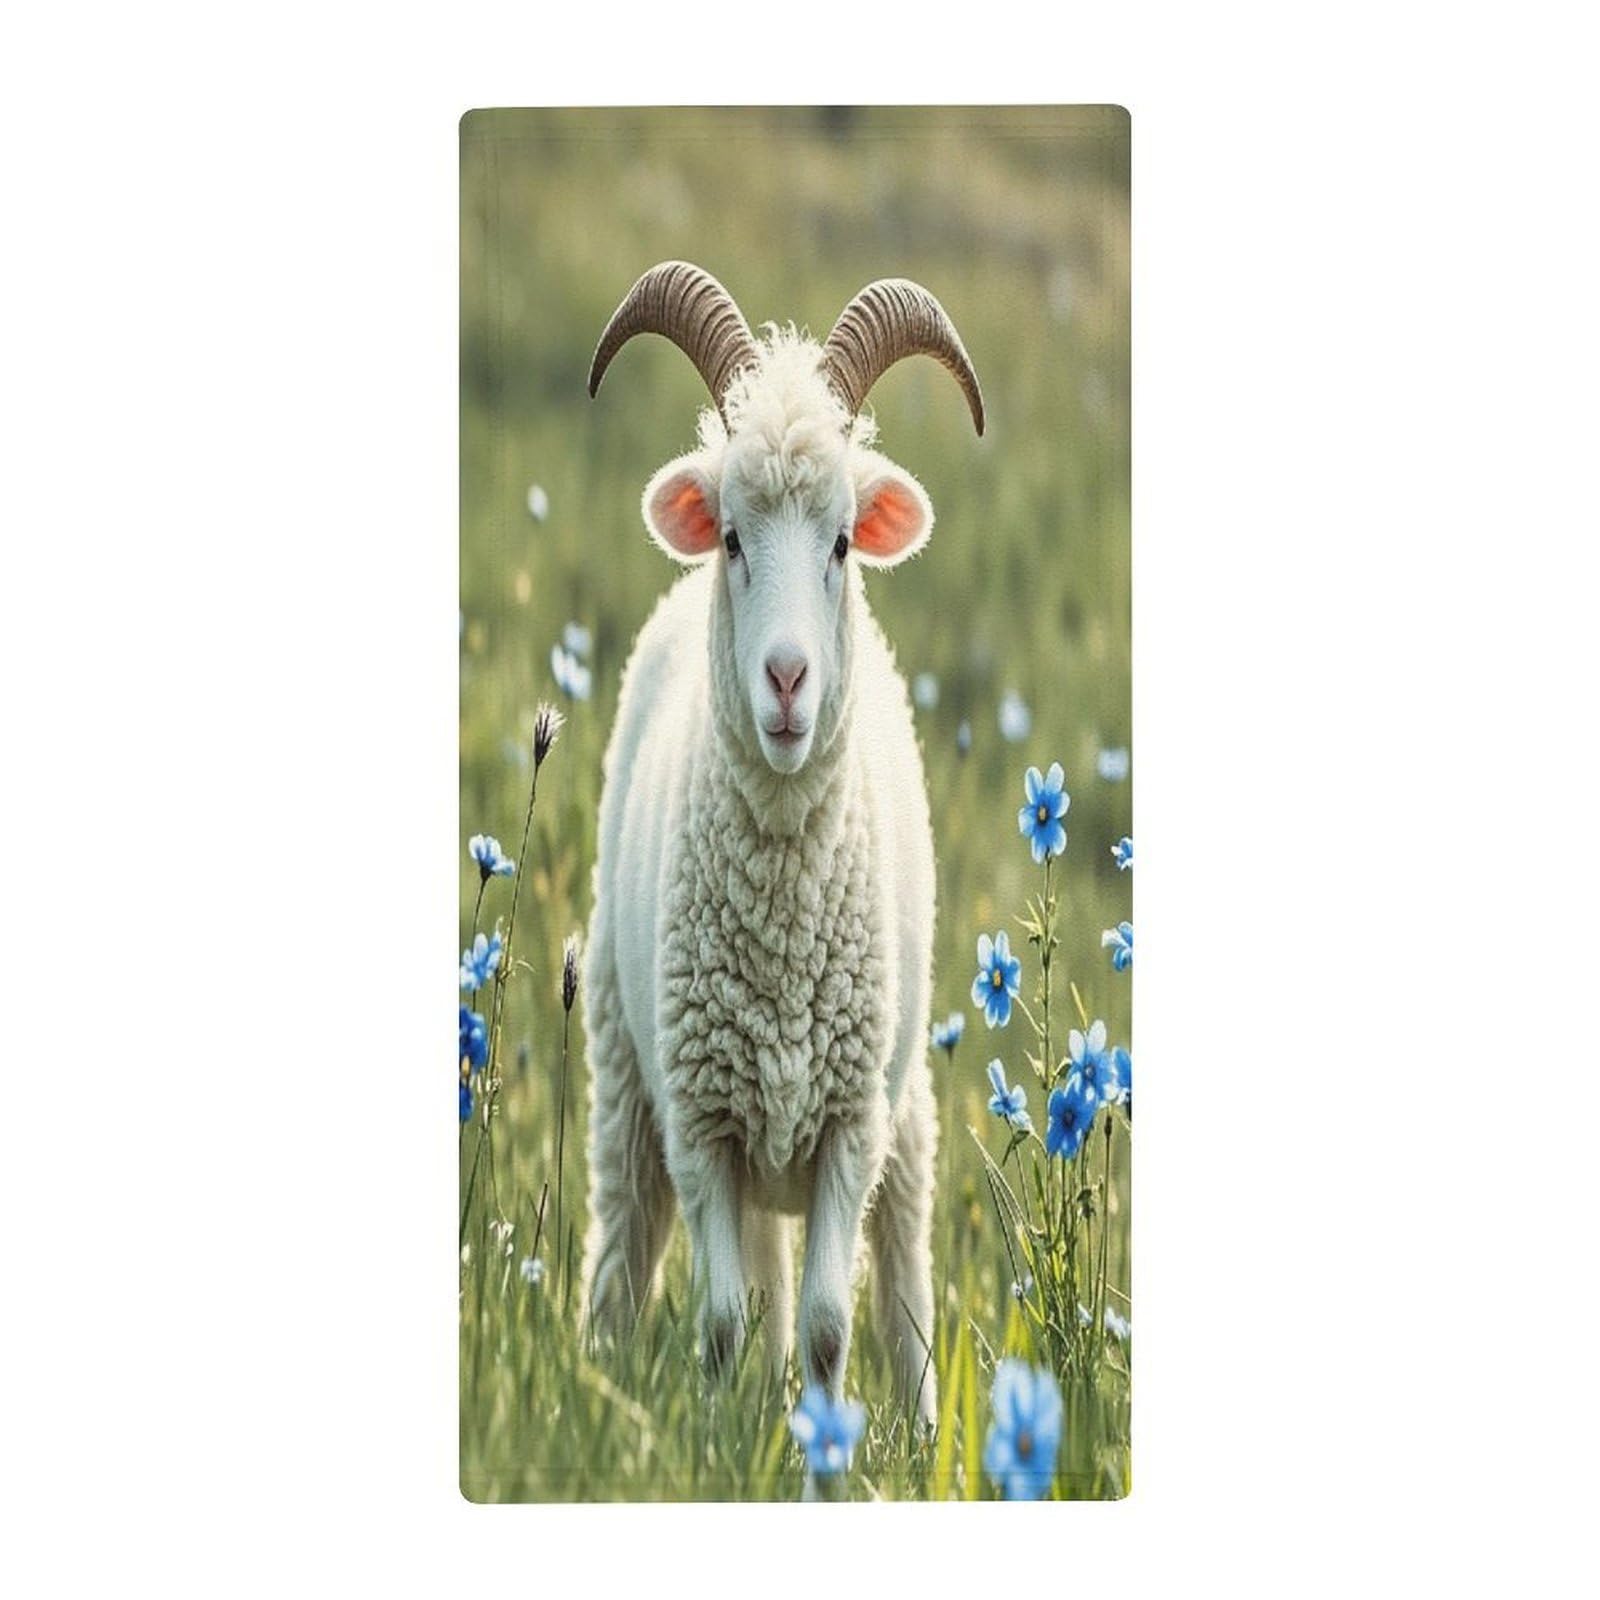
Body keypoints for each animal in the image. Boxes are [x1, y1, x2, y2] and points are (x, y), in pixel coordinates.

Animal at [579, 261, 983, 1428]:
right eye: (731, 537)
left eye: (843, 541)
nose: (789, 679)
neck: (784, 919)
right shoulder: (705, 1120)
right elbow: (720, 1326)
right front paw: (717, 1443)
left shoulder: (849, 1124)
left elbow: (830, 1326)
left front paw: (821, 1449)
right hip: (630, 1074)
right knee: (629, 1246)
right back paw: (599, 1379)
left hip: (901, 1109)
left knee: (901, 1288)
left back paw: (924, 1423)